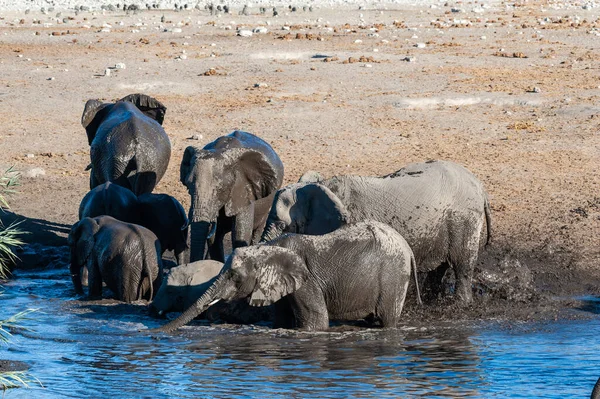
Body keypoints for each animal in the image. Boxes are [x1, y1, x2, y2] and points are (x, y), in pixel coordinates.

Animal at [152, 220, 420, 332]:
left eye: (234, 276)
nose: (153, 333)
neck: (267, 248)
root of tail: (408, 247)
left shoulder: (307, 280)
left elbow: (316, 323)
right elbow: (280, 320)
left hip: (394, 275)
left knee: (387, 318)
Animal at [180, 130, 284, 264]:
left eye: (220, 189)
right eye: (188, 187)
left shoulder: (243, 189)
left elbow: (241, 233)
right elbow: (214, 238)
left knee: (256, 230)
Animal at [262, 159, 492, 304]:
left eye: (282, 225)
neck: (322, 186)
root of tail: (480, 187)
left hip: (464, 218)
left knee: (462, 265)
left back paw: (460, 305)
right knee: (440, 267)